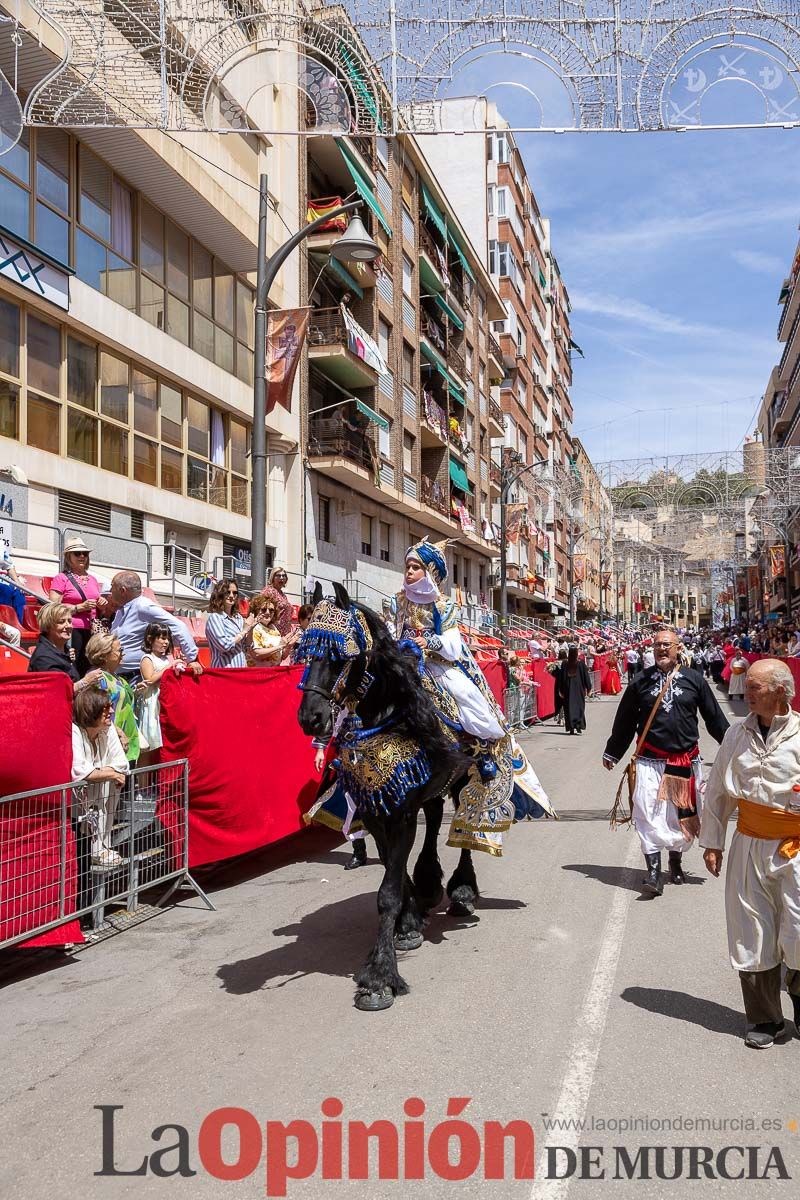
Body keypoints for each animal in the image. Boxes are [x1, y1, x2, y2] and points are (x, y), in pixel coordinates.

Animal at [297, 583, 479, 1012]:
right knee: (435, 819)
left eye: (339, 655)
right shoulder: (378, 809)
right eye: (304, 650)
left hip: (465, 777)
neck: (387, 713)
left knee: (464, 825)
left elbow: (388, 892)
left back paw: (462, 890)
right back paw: (429, 884)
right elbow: (391, 875)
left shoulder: (401, 813)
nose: (310, 719)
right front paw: (408, 924)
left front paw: (380, 977)